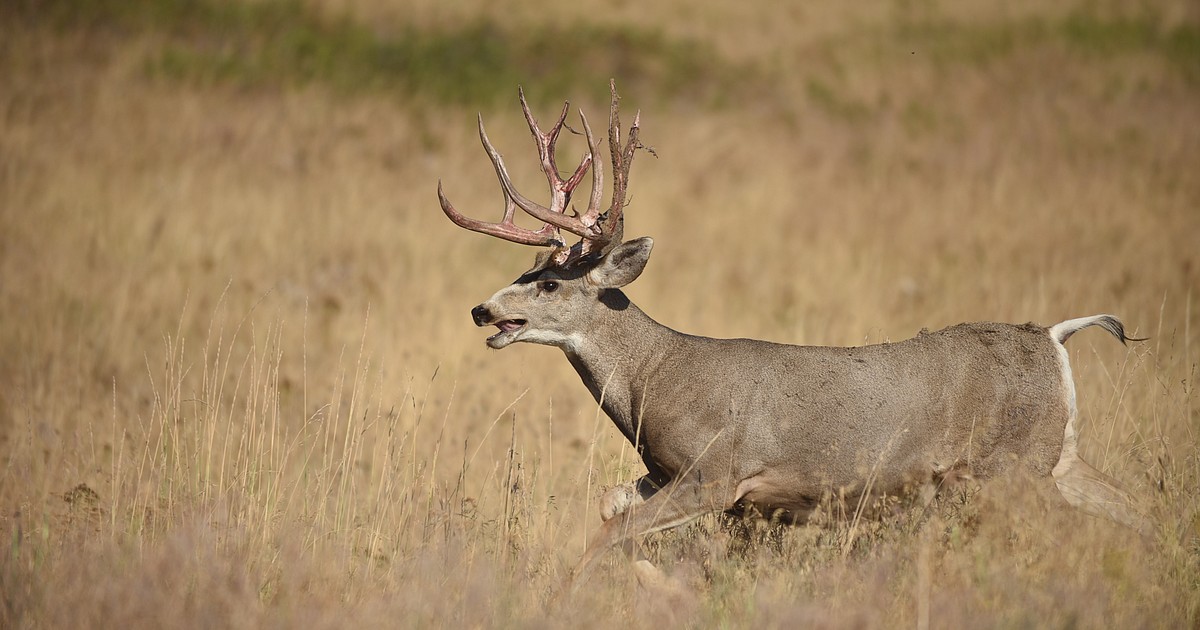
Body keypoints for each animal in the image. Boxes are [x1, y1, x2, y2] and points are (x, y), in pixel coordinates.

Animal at [436, 81, 1147, 588]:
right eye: (524, 271)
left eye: (550, 285)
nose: (482, 311)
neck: (652, 380)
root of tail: (1054, 336)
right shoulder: (668, 474)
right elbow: (613, 508)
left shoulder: (715, 473)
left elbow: (615, 533)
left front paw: (575, 595)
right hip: (1055, 455)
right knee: (1135, 506)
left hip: (1012, 466)